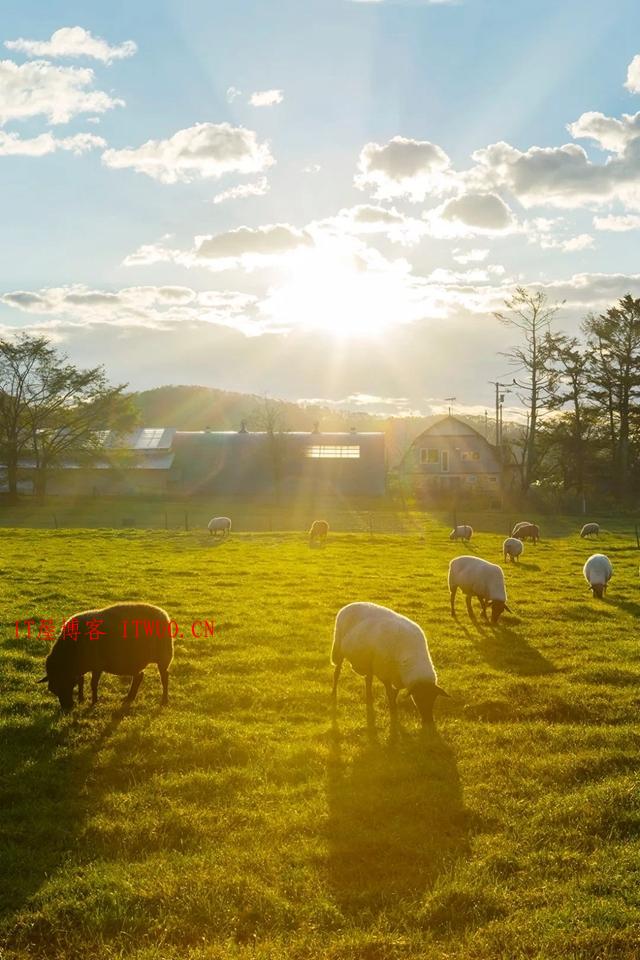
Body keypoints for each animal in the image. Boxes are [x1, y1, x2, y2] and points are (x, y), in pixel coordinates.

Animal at [38, 600, 174, 712]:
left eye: (66, 684)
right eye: (53, 690)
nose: (67, 708)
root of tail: (164, 614)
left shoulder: (97, 666)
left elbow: (93, 684)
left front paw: (93, 702)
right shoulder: (81, 668)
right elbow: (81, 681)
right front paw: (81, 699)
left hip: (164, 657)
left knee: (164, 677)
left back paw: (164, 701)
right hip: (137, 660)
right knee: (139, 676)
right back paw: (129, 698)